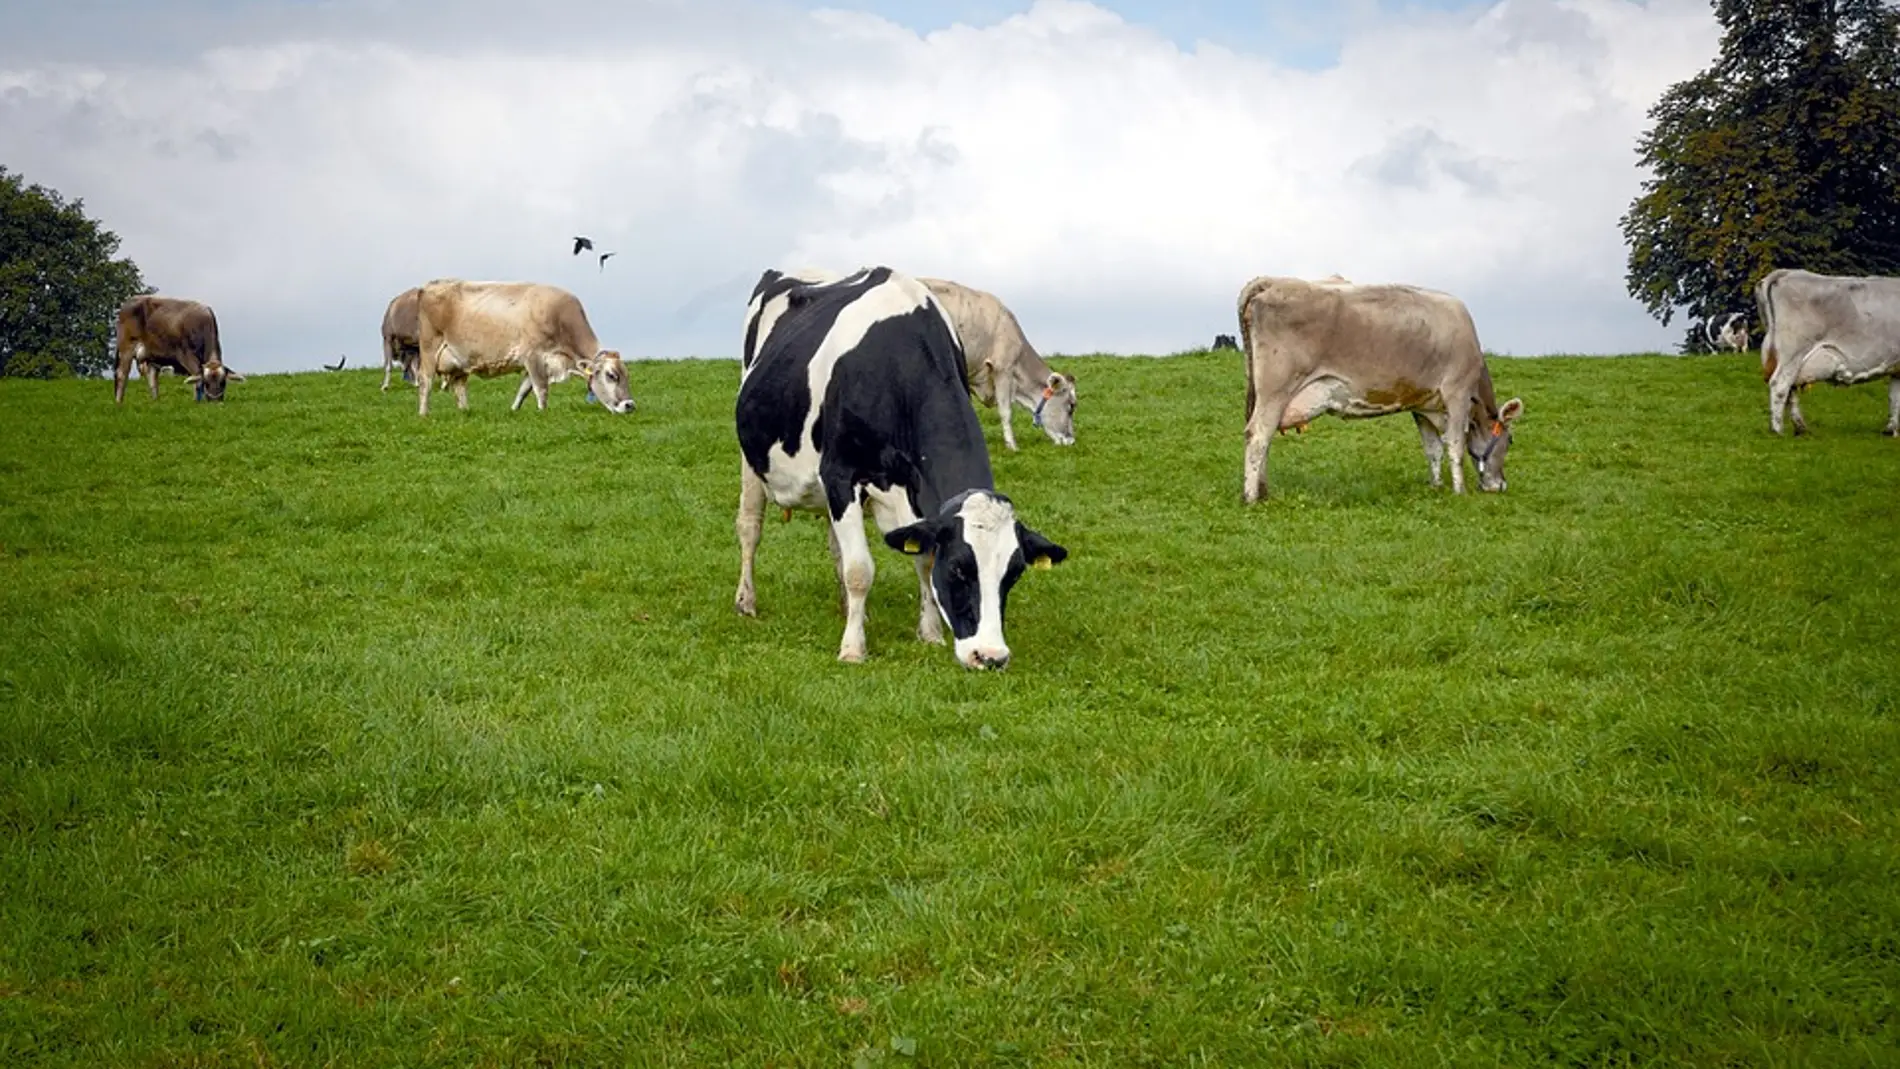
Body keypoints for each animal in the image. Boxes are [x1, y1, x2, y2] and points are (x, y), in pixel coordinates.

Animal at [414, 279, 634, 415]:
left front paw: (514, 410)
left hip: (460, 361)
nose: (630, 405)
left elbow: (524, 390)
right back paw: (424, 414)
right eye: (611, 375)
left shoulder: (535, 363)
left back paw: (465, 411)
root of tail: (430, 285)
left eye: (626, 375)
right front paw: (543, 412)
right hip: (430, 348)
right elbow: (541, 389)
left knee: (459, 387)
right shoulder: (533, 356)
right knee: (426, 381)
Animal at [1231, 275, 1527, 501]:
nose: (1500, 485)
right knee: (1258, 434)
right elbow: (1454, 445)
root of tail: (1270, 281)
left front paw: (1436, 486)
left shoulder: (1423, 406)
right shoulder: (1457, 393)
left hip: (1261, 392)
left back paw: (1263, 490)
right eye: (1510, 440)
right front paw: (1460, 491)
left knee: (1262, 436)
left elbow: (1432, 448)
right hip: (1276, 389)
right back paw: (1251, 497)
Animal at [1748, 269, 1900, 436]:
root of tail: (1785, 273)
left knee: (1791, 388)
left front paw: (1891, 430)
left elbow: (1894, 397)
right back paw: (1777, 431)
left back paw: (1800, 428)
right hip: (1792, 351)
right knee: (1780, 384)